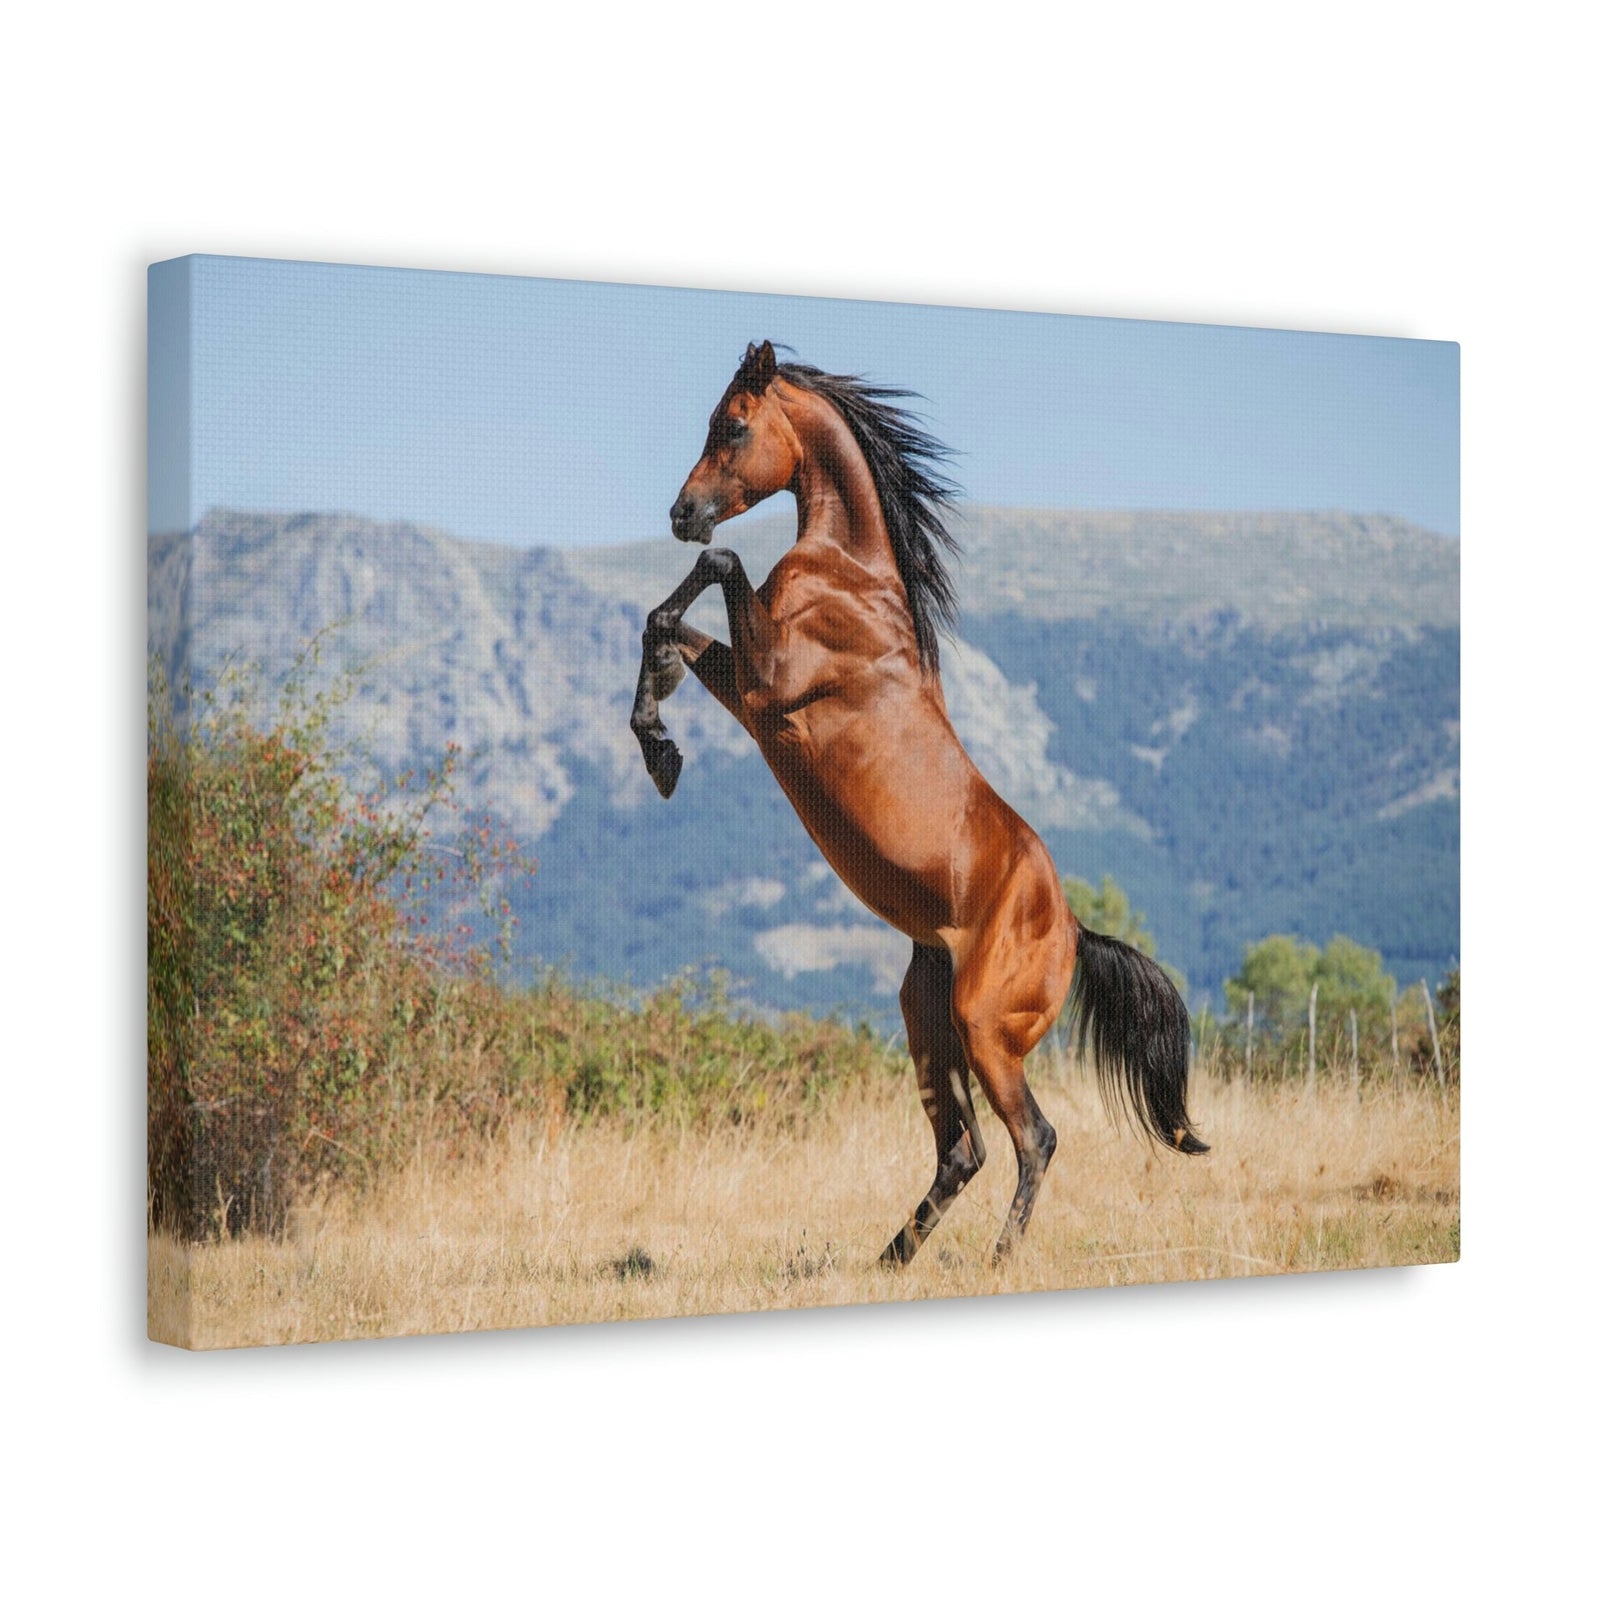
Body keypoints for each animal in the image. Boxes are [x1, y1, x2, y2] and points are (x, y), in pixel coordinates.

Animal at [630, 340, 1207, 1265]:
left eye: (735, 425)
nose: (684, 513)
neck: (848, 577)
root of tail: (1073, 929)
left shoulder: (771, 680)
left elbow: (717, 572)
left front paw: (659, 743)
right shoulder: (753, 694)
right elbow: (664, 626)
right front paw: (660, 751)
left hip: (984, 1028)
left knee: (1034, 1137)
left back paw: (998, 1259)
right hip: (927, 1017)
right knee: (963, 1150)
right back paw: (891, 1258)